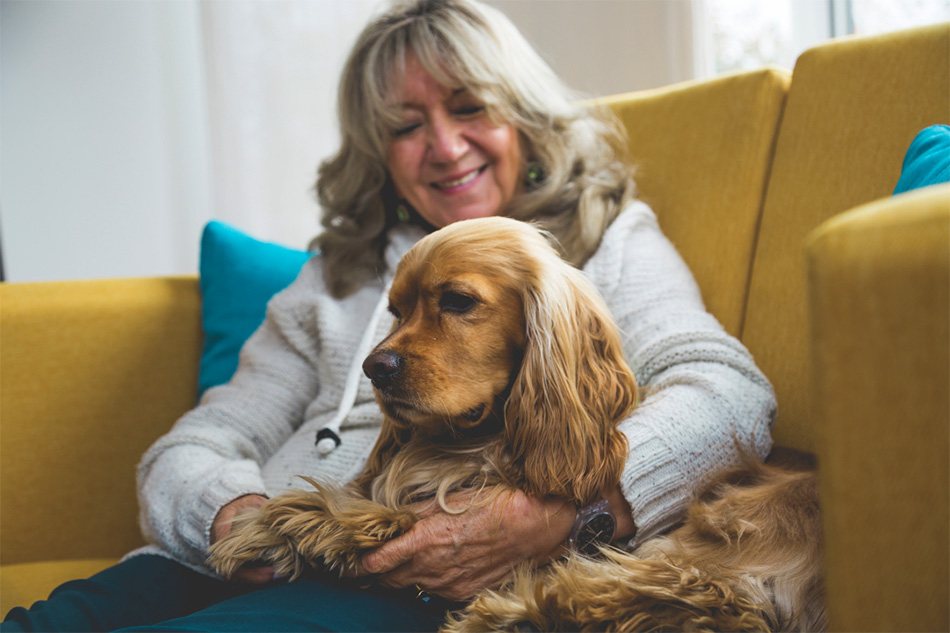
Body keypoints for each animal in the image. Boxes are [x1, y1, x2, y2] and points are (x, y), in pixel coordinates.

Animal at [208, 216, 824, 628]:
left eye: (457, 301)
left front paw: (290, 521)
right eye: (395, 311)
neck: (482, 436)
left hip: (716, 529)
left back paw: (505, 611)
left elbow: (385, 512)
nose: (373, 367)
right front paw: (268, 529)